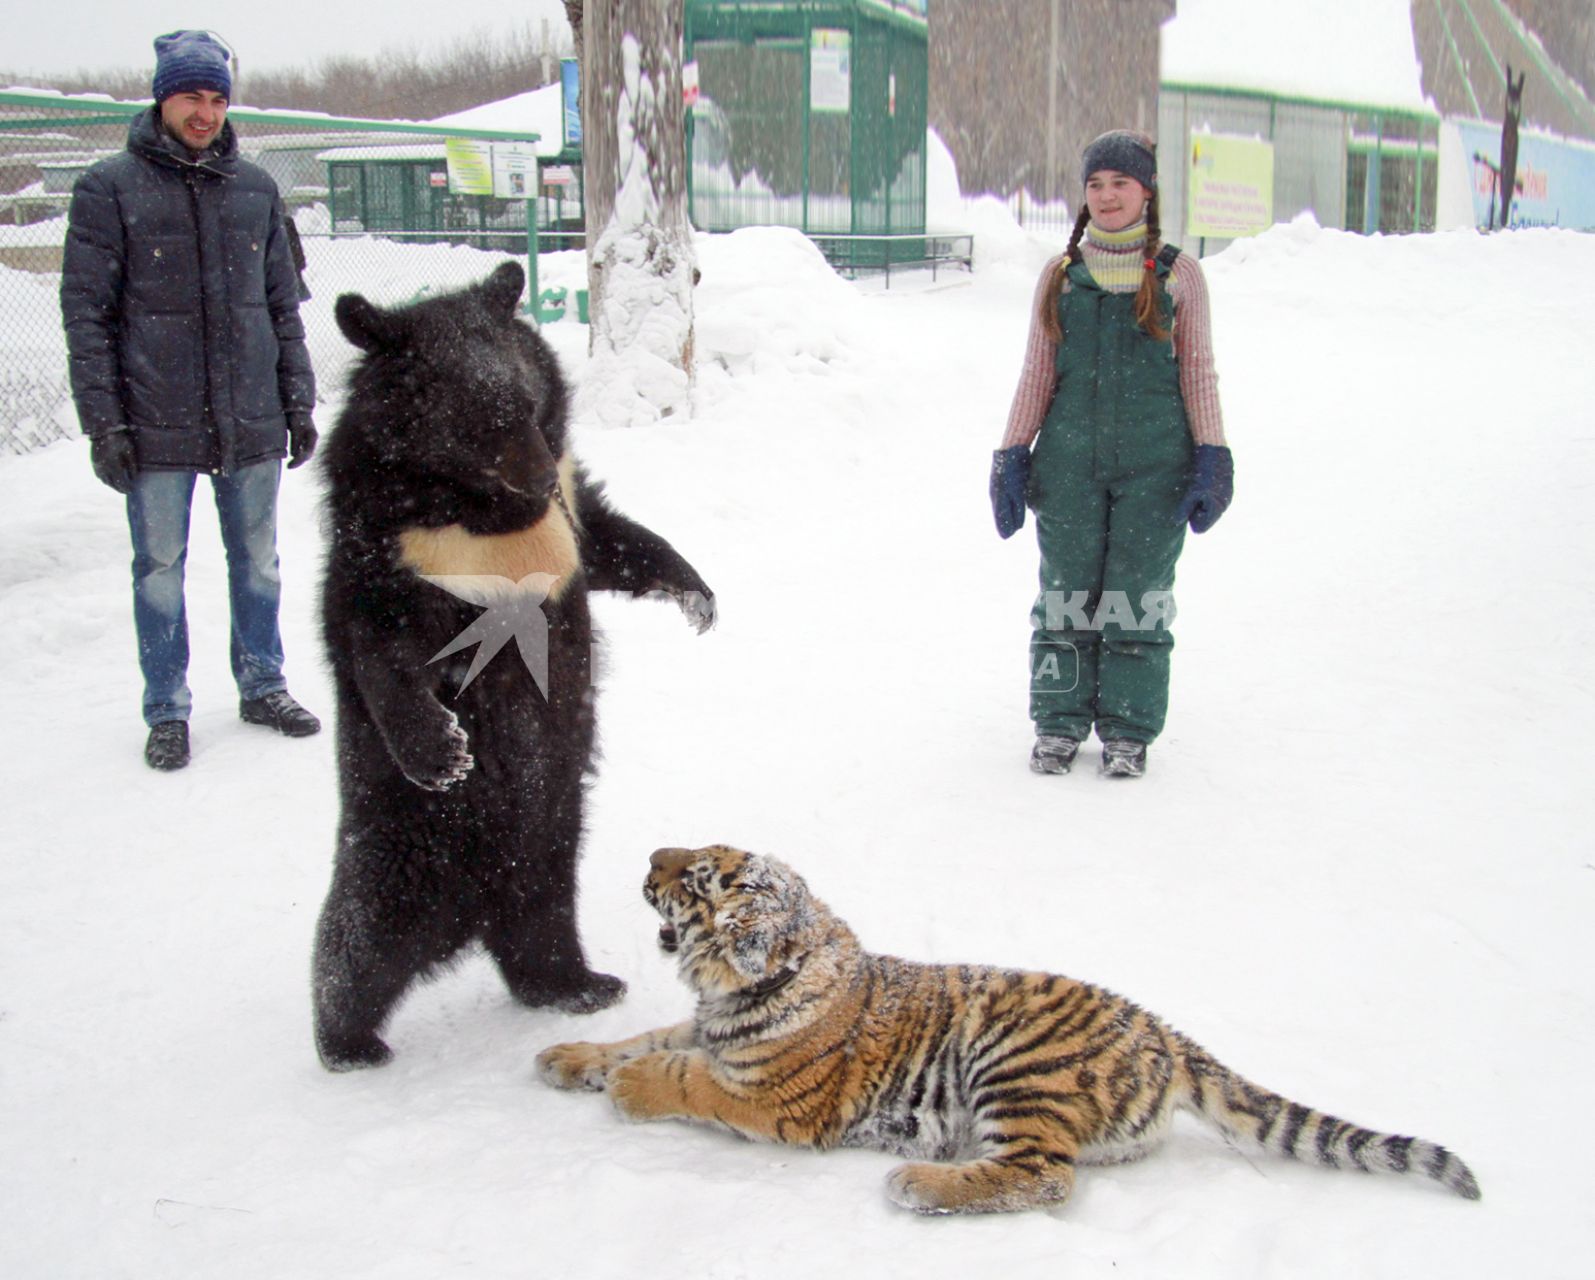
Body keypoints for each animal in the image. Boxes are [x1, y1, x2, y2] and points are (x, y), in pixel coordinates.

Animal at [311, 259, 711, 1071]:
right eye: (473, 424)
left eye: (527, 405)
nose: (533, 480)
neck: (485, 513)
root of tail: (470, 908)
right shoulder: (393, 543)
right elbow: (379, 641)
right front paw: (442, 749)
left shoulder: (570, 507)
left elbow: (617, 540)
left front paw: (698, 596)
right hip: (392, 850)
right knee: (356, 945)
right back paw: (350, 1043)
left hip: (552, 843)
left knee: (540, 925)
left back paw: (581, 985)